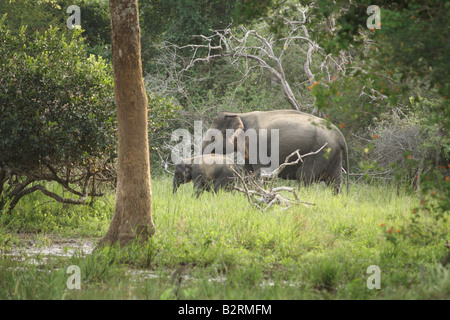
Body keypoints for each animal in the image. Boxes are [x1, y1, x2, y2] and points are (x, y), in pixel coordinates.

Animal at [202, 110, 350, 195]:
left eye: (213, 138)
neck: (240, 115)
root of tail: (341, 137)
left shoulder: (258, 144)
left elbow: (260, 172)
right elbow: (249, 173)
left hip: (320, 150)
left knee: (303, 175)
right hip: (333, 154)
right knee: (335, 181)